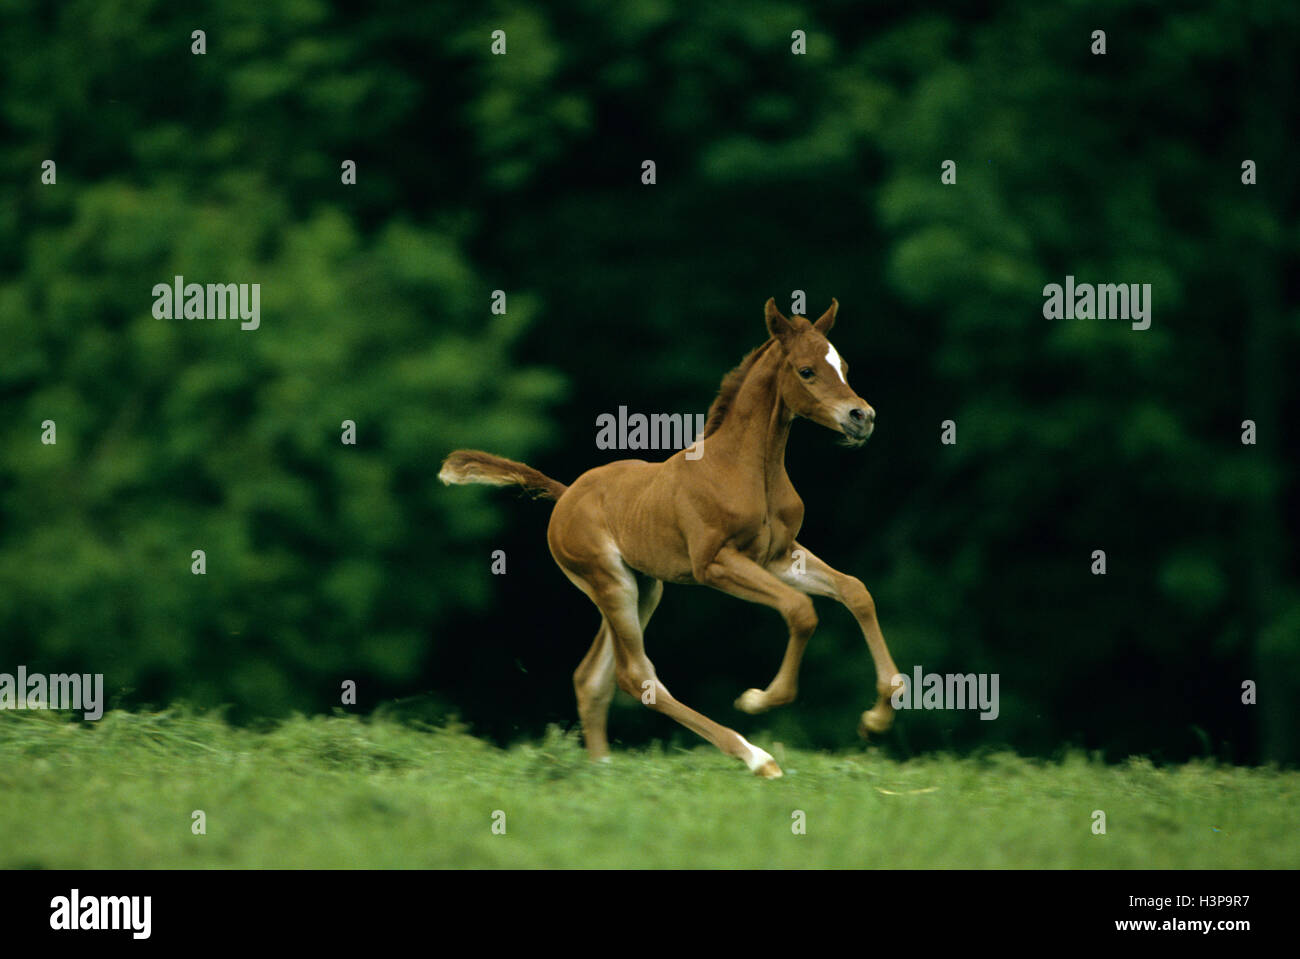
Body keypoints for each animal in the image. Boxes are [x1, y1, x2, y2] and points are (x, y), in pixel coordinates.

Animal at [441, 298, 899, 779]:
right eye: (807, 370)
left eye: (843, 366)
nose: (862, 417)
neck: (748, 469)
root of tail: (566, 495)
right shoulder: (715, 564)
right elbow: (800, 610)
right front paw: (760, 699)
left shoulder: (778, 556)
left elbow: (855, 591)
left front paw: (877, 718)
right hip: (610, 582)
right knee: (636, 677)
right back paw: (755, 756)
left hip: (644, 587)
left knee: (592, 677)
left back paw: (604, 770)